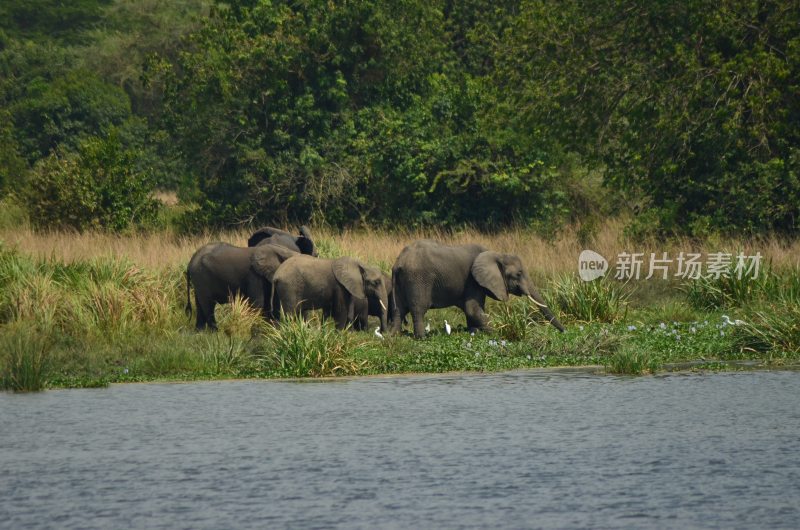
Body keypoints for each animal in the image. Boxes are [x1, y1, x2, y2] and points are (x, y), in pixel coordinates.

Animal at [390, 238, 564, 336]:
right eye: (519, 274)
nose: (564, 331)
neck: (496, 254)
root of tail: (399, 262)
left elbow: (471, 310)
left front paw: (475, 333)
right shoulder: (473, 280)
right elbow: (472, 308)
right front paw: (498, 333)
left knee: (399, 310)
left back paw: (394, 337)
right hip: (417, 279)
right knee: (418, 310)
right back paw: (421, 338)